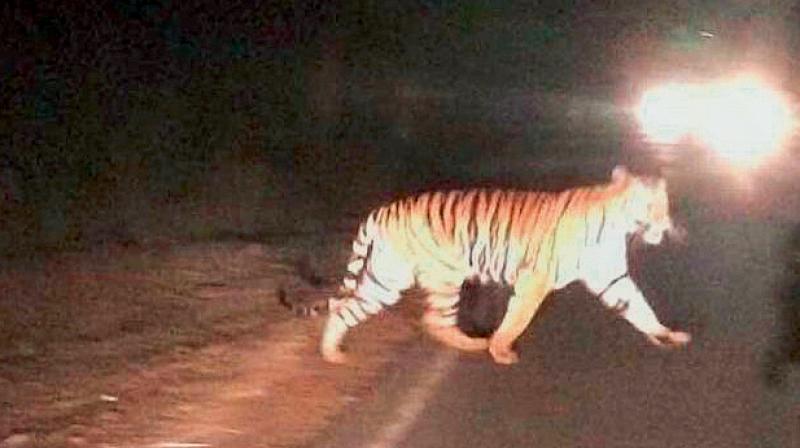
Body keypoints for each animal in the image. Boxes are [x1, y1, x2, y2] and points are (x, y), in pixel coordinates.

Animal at [316, 166, 692, 366]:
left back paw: (331, 353)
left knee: (345, 308)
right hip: (444, 276)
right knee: (433, 320)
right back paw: (476, 344)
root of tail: (384, 209)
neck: (619, 227)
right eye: (651, 206)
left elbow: (640, 307)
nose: (665, 225)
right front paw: (501, 349)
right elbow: (517, 319)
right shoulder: (535, 279)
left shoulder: (611, 277)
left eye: (665, 204)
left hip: (386, 279)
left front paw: (666, 335)